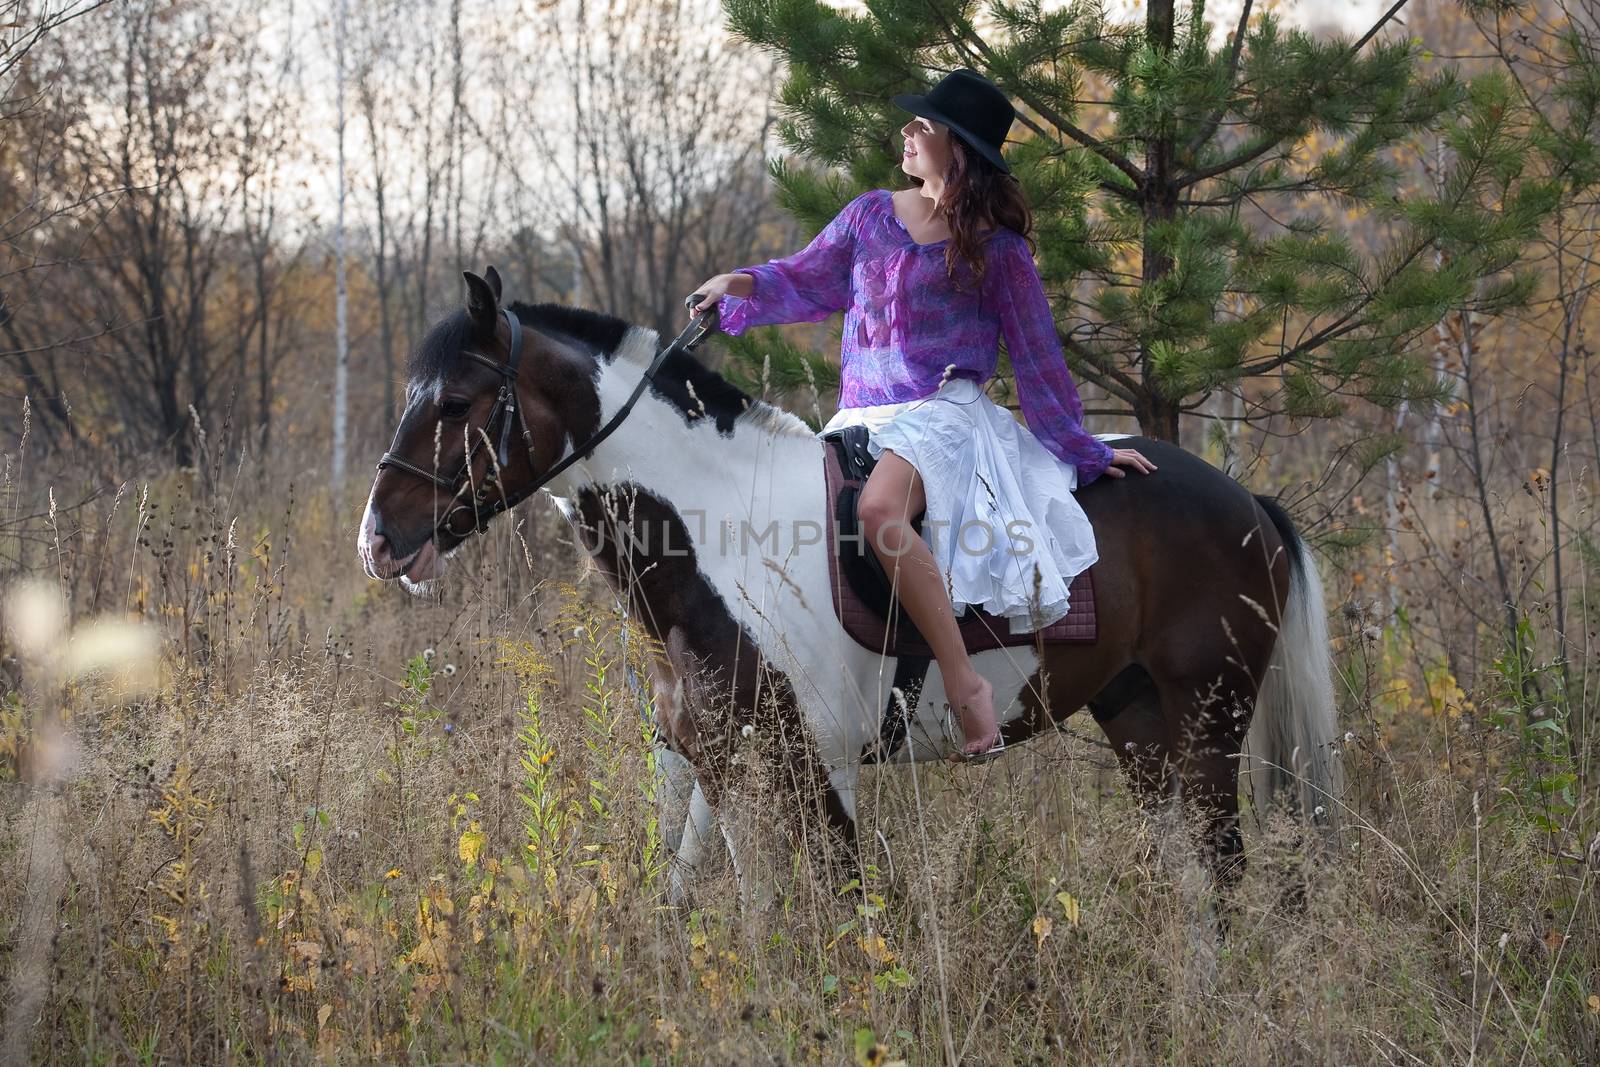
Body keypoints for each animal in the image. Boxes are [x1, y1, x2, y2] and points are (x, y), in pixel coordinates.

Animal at [360, 268, 1337, 902]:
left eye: (456, 403)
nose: (379, 539)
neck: (726, 536)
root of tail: (1245, 499)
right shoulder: (722, 769)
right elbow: (726, 905)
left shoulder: (820, 769)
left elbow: (842, 909)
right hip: (1138, 718)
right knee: (1192, 876)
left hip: (1209, 715)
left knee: (1222, 869)